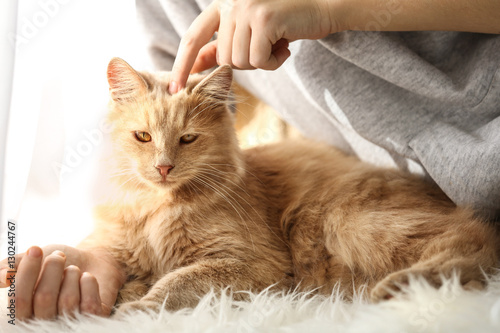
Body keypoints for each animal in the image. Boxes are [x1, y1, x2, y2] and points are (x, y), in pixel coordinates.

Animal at [84, 57, 498, 314]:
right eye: (143, 136)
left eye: (187, 139)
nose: (164, 166)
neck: (158, 208)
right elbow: (135, 279)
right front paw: (120, 299)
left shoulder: (252, 264)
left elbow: (176, 282)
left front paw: (139, 309)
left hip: (351, 221)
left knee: (474, 242)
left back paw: (400, 287)